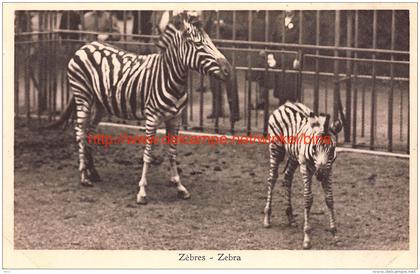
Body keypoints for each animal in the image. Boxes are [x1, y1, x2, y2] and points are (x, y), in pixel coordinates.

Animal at [51, 12, 233, 203]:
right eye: (198, 44)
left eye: (210, 41)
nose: (228, 70)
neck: (169, 77)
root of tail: (86, 45)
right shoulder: (151, 118)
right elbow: (148, 154)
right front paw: (142, 191)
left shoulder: (174, 118)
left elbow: (172, 153)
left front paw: (180, 187)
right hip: (83, 95)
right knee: (80, 132)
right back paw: (84, 176)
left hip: (101, 104)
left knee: (89, 133)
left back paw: (93, 172)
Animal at [264, 101, 342, 249]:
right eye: (314, 148)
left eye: (332, 150)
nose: (320, 175)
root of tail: (286, 104)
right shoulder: (305, 167)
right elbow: (308, 199)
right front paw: (307, 237)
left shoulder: (329, 169)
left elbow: (329, 199)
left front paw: (335, 235)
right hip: (276, 148)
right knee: (272, 178)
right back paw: (267, 217)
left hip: (294, 157)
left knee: (287, 177)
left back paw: (290, 217)